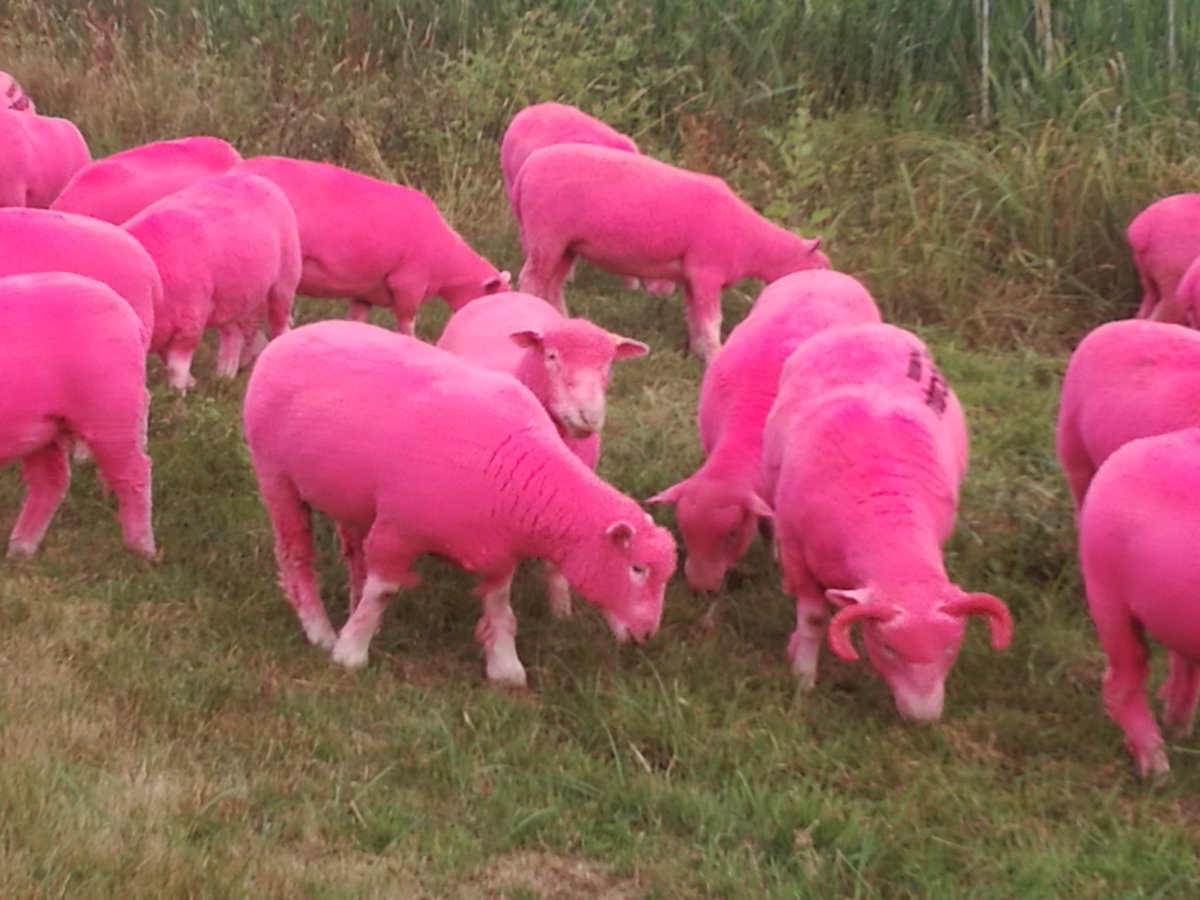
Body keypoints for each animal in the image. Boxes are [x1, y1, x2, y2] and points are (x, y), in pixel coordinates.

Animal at [0, 272, 154, 558]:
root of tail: (129, 314)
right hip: (46, 427)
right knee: (51, 483)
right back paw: (20, 552)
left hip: (111, 408)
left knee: (135, 473)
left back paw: (141, 552)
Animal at [123, 172, 301, 392]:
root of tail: (252, 177)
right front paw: (191, 384)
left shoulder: (190, 323)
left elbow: (176, 367)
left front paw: (179, 393)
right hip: (233, 298)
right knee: (235, 334)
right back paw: (226, 375)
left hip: (284, 278)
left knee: (280, 326)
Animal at [513, 143, 829, 362]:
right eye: (820, 269)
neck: (753, 243)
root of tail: (526, 169)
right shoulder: (707, 272)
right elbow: (711, 320)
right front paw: (715, 354)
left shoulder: (691, 277)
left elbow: (694, 316)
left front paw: (699, 350)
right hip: (547, 234)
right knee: (531, 279)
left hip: (567, 245)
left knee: (552, 285)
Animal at [648, 270, 881, 595]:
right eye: (683, 528)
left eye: (733, 533)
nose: (700, 588)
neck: (746, 432)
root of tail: (825, 273)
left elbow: (772, 526)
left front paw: (774, 557)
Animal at [760, 322, 1012, 720]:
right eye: (888, 647)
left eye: (949, 648)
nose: (923, 718)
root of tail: (865, 328)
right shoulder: (798, 552)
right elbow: (813, 619)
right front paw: (802, 676)